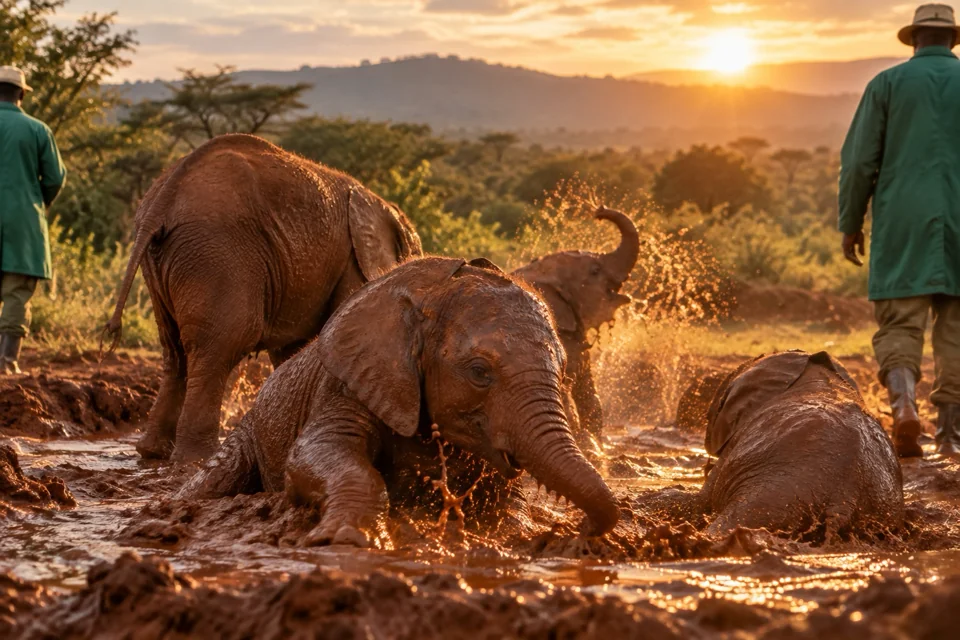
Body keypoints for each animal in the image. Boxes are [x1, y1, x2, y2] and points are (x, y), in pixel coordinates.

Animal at [103, 134, 423, 463]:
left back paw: (153, 453)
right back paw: (197, 459)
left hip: (165, 261)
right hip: (216, 254)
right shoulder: (351, 260)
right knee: (220, 345)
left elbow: (292, 349)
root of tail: (162, 201)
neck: (378, 204)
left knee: (174, 350)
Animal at [176, 257, 621, 547]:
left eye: (563, 370)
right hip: (249, 427)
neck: (431, 294)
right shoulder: (352, 382)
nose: (582, 532)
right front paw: (349, 539)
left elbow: (507, 501)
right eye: (479, 372)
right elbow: (314, 454)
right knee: (214, 480)